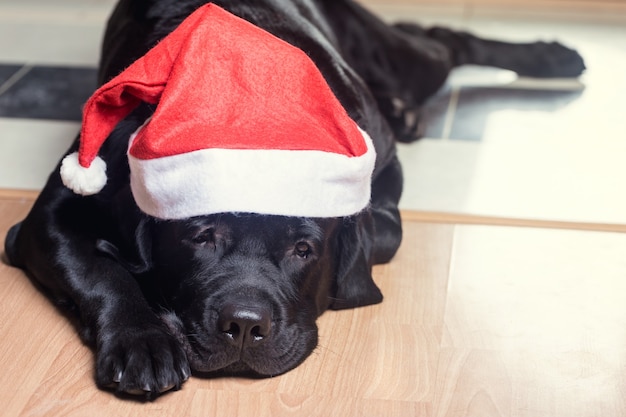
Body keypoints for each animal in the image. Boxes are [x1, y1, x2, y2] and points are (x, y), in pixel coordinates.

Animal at [2, 0, 584, 398]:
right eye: (200, 237)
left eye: (303, 251)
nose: (244, 325)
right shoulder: (55, 208)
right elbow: (98, 271)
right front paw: (142, 338)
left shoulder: (380, 175)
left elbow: (383, 232)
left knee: (442, 40)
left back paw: (551, 57)